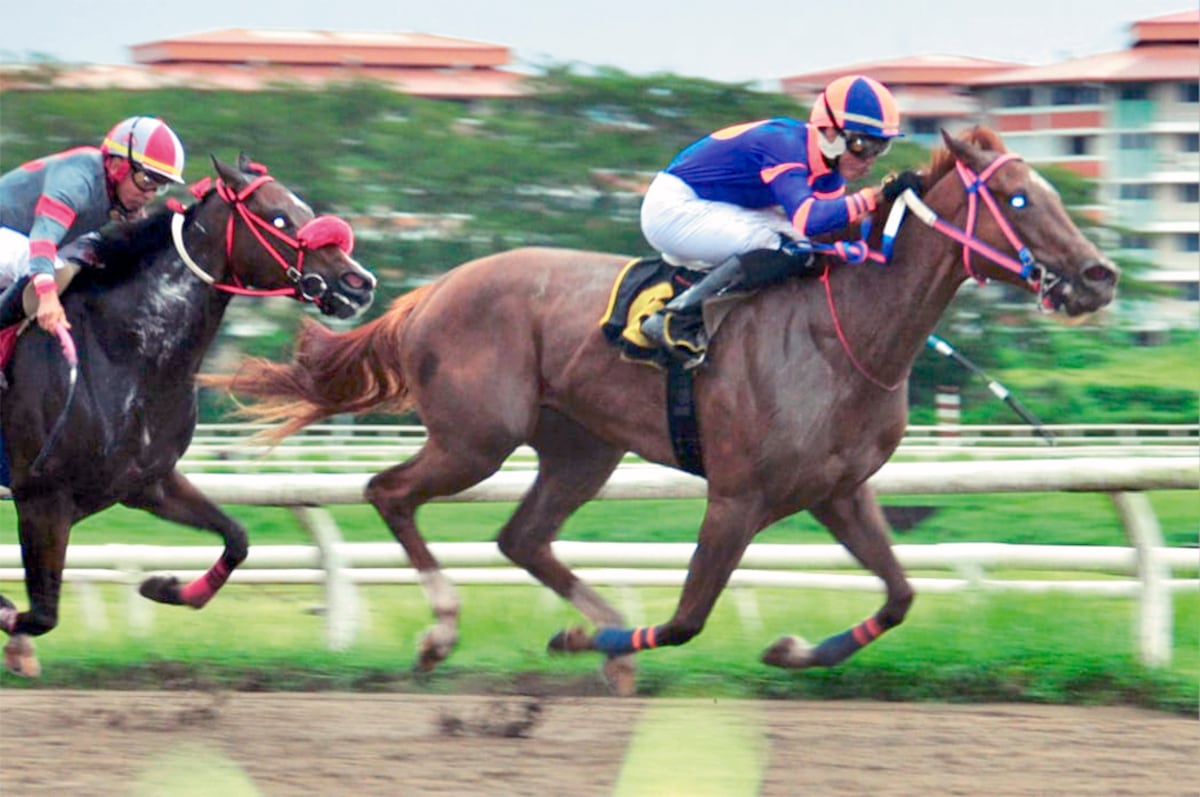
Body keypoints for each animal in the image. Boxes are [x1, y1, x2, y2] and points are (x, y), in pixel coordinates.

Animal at [0, 153, 374, 672]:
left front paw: (166, 586)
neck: (123, 353)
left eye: (306, 209)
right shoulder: (42, 497)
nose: (359, 283)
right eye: (280, 217)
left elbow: (237, 538)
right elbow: (40, 614)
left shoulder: (147, 483)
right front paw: (16, 637)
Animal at [211, 127, 1118, 696]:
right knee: (389, 493)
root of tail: (432, 290)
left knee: (521, 536)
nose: (1099, 276)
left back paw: (601, 640)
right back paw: (446, 632)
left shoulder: (839, 491)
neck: (843, 331)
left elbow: (898, 597)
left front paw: (790, 647)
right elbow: (685, 619)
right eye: (1019, 199)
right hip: (477, 437)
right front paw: (580, 641)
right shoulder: (737, 496)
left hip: (580, 448)